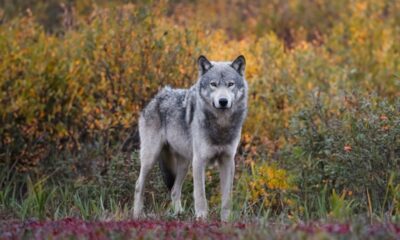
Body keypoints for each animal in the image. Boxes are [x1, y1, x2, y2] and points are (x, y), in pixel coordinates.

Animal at [134, 55, 247, 220]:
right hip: (151, 158)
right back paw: (137, 215)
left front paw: (226, 221)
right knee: (138, 185)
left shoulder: (228, 161)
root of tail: (156, 98)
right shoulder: (199, 161)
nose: (223, 101)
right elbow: (200, 196)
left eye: (230, 84)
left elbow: (227, 198)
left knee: (174, 190)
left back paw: (178, 214)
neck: (221, 125)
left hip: (184, 164)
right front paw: (201, 219)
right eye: (213, 84)